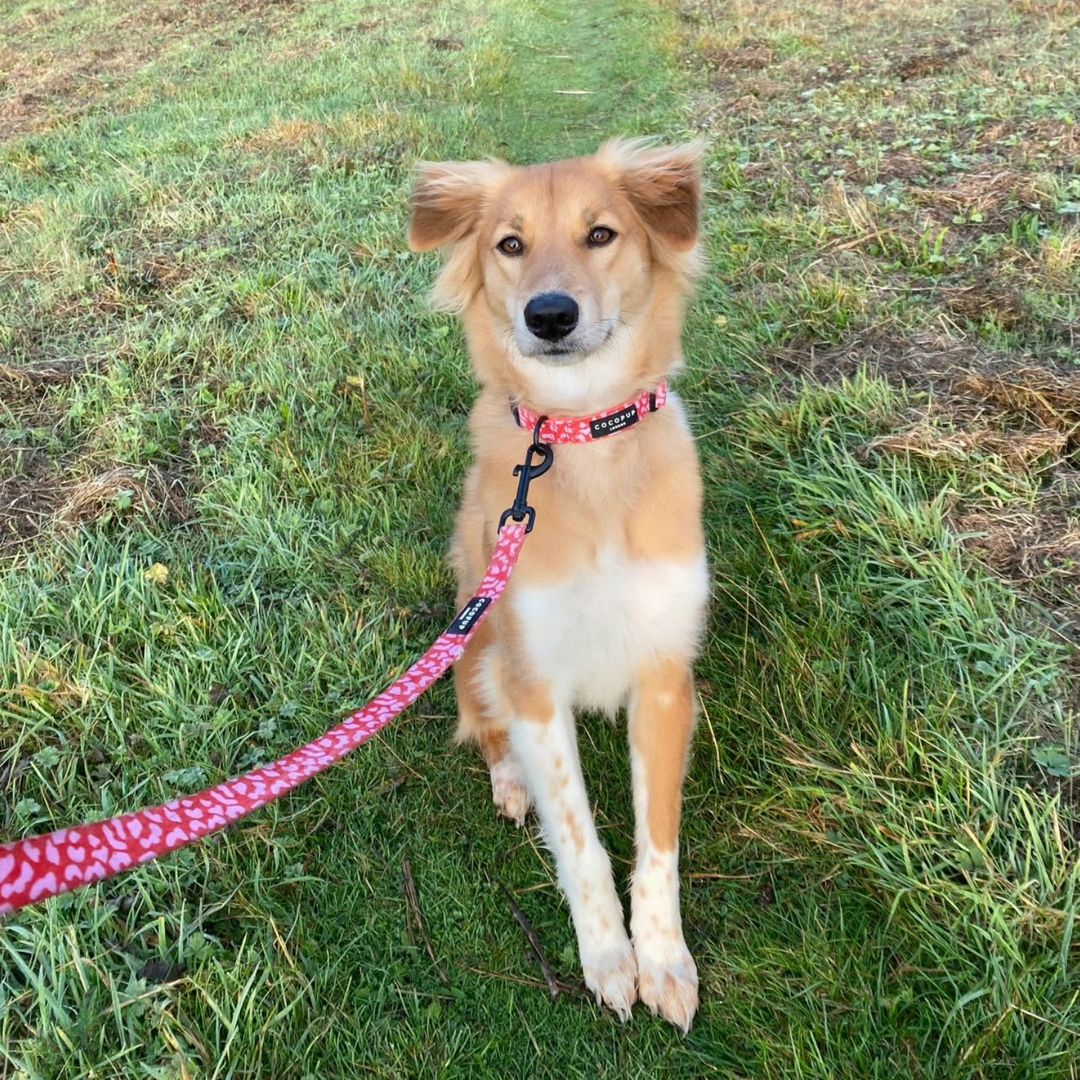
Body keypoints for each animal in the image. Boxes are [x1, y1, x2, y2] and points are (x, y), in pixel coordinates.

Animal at [408, 139, 704, 1032]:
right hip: (473, 643)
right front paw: (608, 957)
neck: (584, 438)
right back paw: (511, 783)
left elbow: (657, 842)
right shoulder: (533, 679)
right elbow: (579, 838)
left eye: (601, 233)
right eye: (510, 245)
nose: (549, 315)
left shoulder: (665, 675)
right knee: (484, 727)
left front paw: (662, 959)